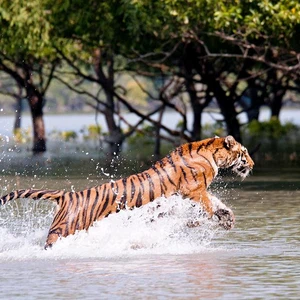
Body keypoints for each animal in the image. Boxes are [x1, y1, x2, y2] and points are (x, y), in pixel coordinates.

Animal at [0, 136, 254, 248]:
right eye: (244, 153)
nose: (252, 164)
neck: (212, 153)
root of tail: (67, 195)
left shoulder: (194, 193)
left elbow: (216, 202)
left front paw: (227, 218)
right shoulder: (193, 190)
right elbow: (208, 206)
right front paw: (214, 219)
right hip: (63, 230)